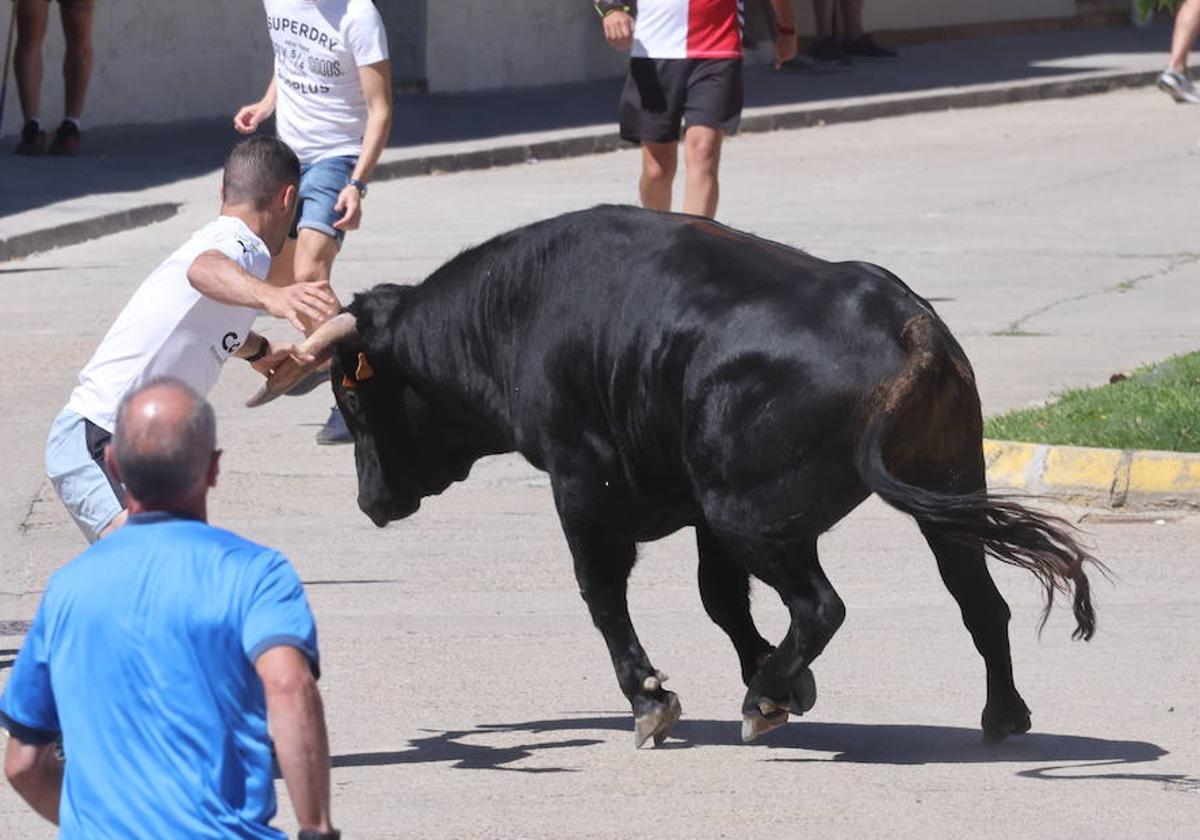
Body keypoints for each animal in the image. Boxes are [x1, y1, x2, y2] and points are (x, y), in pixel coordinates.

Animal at [258, 205, 1099, 748]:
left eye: (352, 398)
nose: (371, 501)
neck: (512, 314)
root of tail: (904, 321)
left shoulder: (584, 486)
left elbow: (603, 593)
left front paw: (653, 697)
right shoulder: (695, 510)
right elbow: (719, 600)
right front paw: (781, 680)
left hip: (756, 515)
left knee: (821, 605)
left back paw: (763, 698)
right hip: (944, 488)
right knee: (978, 601)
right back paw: (1001, 714)